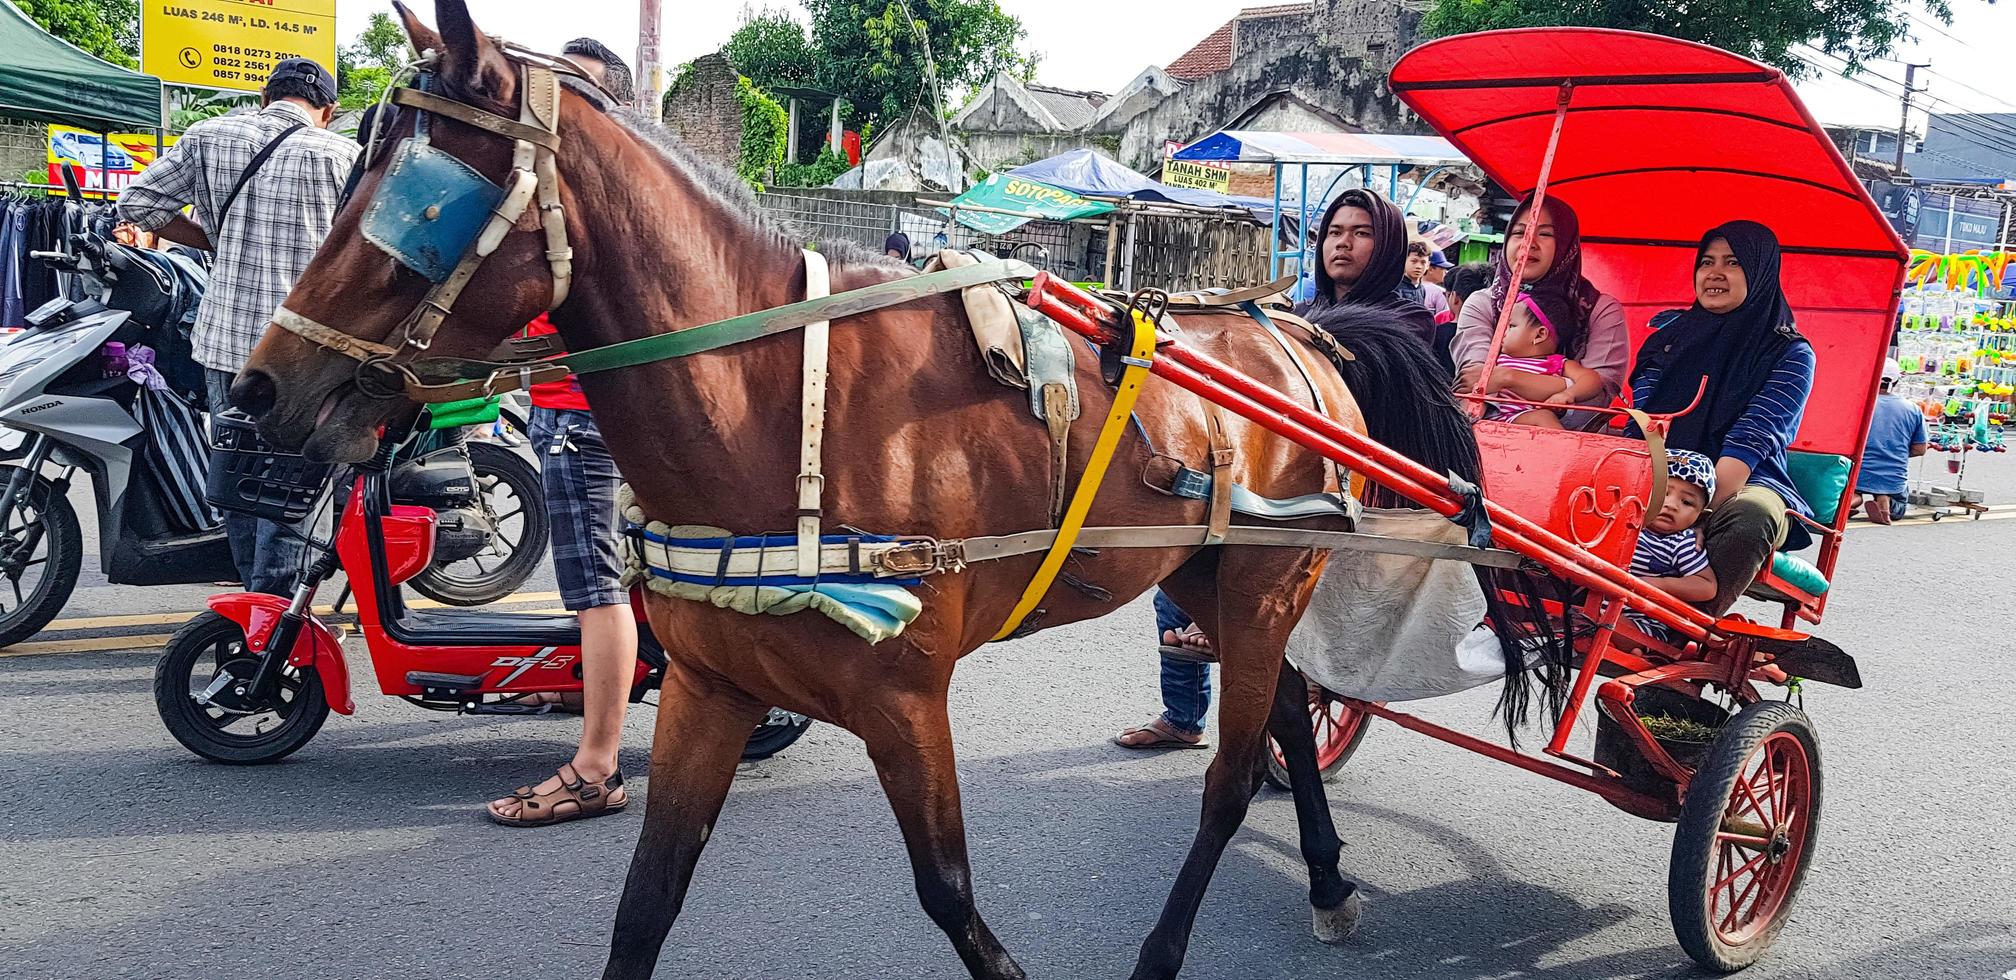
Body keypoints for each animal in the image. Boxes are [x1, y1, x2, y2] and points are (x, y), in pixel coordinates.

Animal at [228, 3, 1475, 975]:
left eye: (420, 199)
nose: (258, 388)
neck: (783, 408)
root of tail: (1306, 331)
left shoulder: (906, 698)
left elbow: (951, 895)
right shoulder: (712, 687)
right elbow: (645, 904)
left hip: (1265, 580)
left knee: (1231, 776)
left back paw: (1171, 946)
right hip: (1223, 577)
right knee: (1291, 727)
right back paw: (1328, 881)